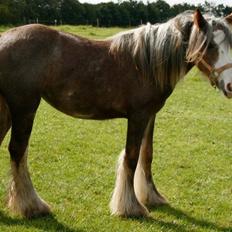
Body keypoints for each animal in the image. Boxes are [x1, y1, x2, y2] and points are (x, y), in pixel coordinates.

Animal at [0, 9, 232, 218]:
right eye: (210, 45)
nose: (230, 86)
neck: (147, 63)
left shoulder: (150, 116)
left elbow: (147, 155)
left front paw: (151, 197)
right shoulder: (138, 116)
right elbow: (131, 157)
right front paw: (130, 207)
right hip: (24, 108)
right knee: (18, 151)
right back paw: (32, 207)